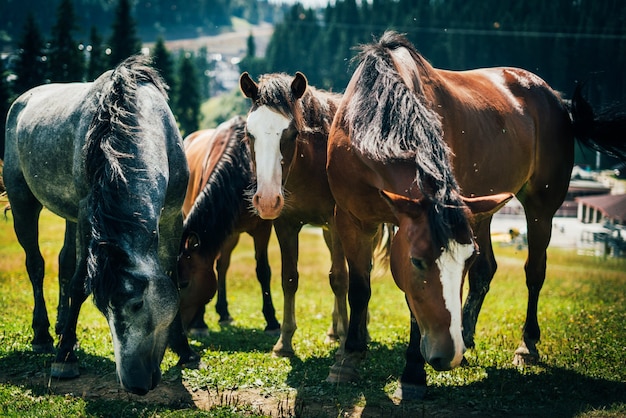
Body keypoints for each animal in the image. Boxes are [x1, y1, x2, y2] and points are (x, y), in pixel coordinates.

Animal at [179, 116, 280, 334]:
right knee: (222, 265)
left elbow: (263, 271)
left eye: (184, 283)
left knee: (223, 266)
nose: (178, 329)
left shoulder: (262, 229)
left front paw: (272, 321)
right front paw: (200, 322)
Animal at [240, 71, 364, 356]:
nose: (266, 200)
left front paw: (346, 341)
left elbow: (339, 279)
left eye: (293, 133)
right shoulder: (286, 225)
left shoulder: (337, 222)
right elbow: (289, 278)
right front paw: (284, 342)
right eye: (249, 133)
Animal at [324, 30, 624, 398]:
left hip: (540, 206)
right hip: (482, 210)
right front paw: (347, 360)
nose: (446, 353)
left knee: (534, 271)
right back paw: (467, 337)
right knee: (487, 271)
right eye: (418, 261)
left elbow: (412, 305)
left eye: (461, 263)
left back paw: (526, 345)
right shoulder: (351, 219)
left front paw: (412, 373)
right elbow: (359, 288)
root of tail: (555, 99)